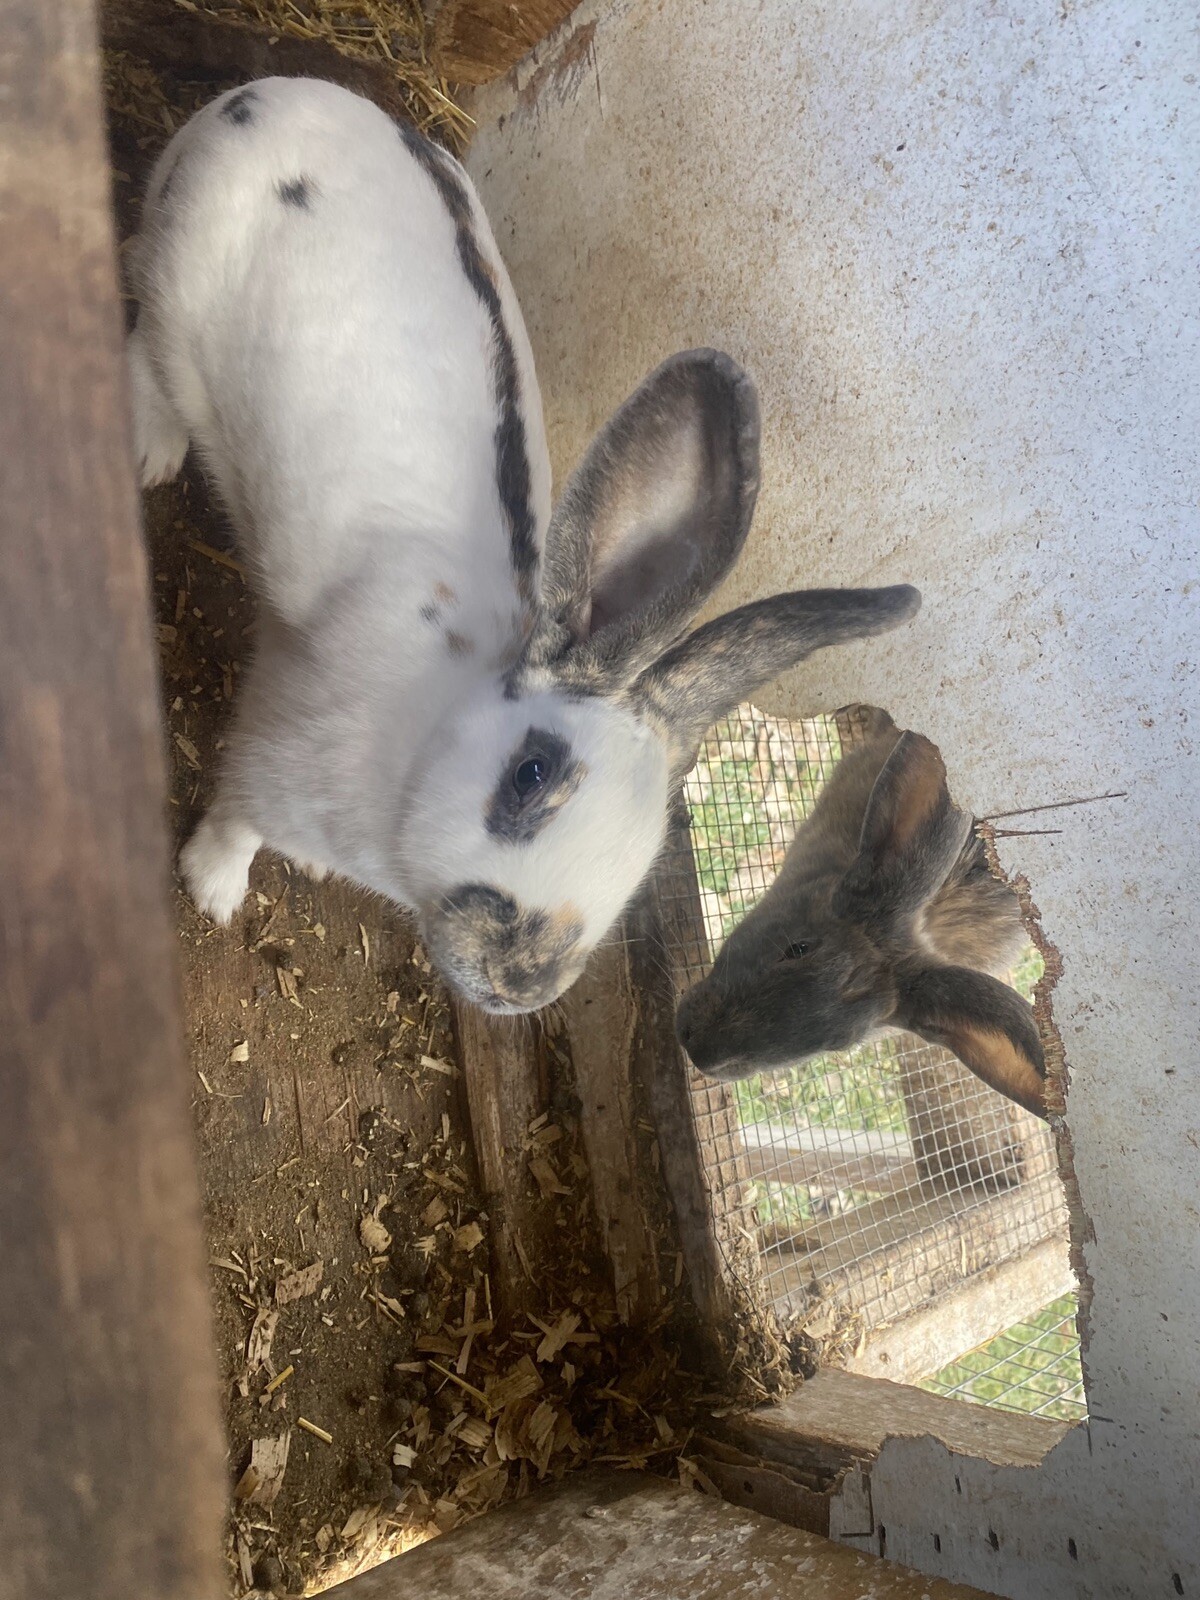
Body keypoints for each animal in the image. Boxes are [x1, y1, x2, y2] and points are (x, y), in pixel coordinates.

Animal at [126, 77, 921, 1015]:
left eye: (650, 850)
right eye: (531, 774)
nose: (519, 981)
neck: (430, 732)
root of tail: (268, 95)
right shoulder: (272, 758)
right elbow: (237, 820)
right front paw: (211, 889)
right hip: (176, 305)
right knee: (143, 352)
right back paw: (149, 453)